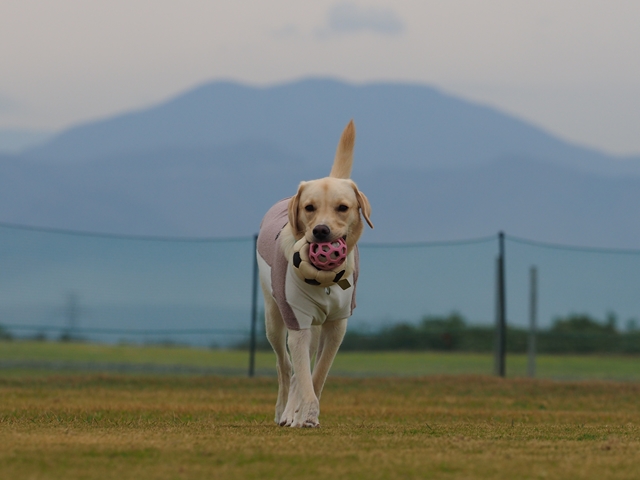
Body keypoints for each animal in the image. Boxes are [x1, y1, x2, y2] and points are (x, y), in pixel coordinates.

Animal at [258, 120, 372, 428]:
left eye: (343, 207)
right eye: (309, 207)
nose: (321, 230)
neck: (325, 280)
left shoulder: (337, 325)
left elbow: (317, 374)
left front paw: (307, 414)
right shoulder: (297, 320)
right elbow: (301, 373)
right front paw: (303, 414)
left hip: (315, 326)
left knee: (299, 370)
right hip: (274, 319)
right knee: (285, 367)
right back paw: (283, 412)